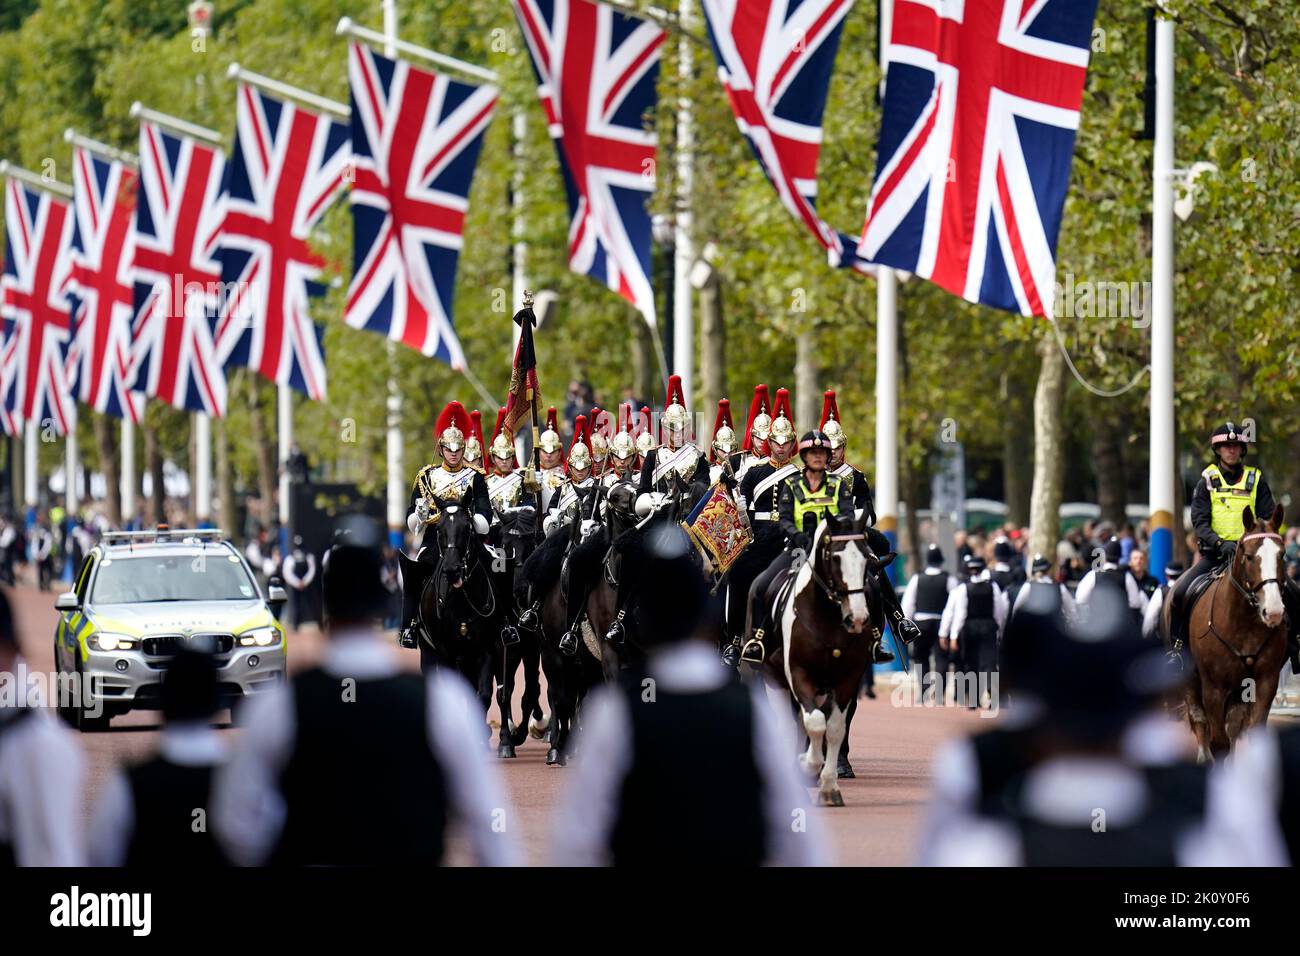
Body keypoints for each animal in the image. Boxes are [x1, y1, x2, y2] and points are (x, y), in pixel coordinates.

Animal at [754, 512, 883, 806]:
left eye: (866, 559)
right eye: (834, 558)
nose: (858, 618)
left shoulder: (848, 678)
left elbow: (834, 726)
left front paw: (829, 783)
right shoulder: (797, 673)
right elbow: (811, 722)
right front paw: (807, 766)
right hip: (770, 676)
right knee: (785, 722)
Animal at [1175, 504, 1284, 759]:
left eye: (1282, 554)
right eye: (1249, 556)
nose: (1274, 610)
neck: (1244, 624)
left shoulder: (1266, 682)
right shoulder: (1213, 688)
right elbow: (1218, 743)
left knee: (1232, 727)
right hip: (1191, 681)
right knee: (1200, 722)